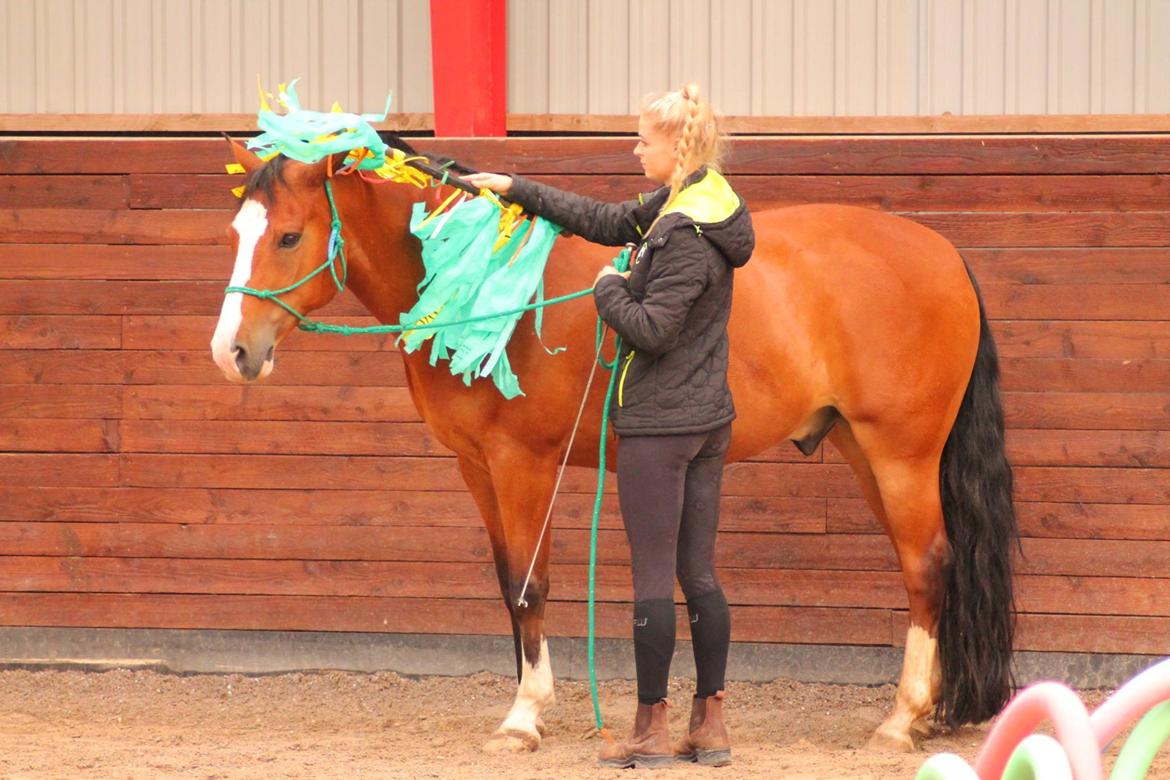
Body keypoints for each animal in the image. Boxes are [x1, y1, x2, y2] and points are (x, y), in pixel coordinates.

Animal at [210, 137, 1015, 753]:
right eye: (237, 236)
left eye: (289, 236)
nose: (232, 352)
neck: (478, 285)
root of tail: (945, 254)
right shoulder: (476, 469)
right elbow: (506, 586)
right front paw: (529, 701)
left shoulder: (524, 465)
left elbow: (531, 584)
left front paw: (524, 718)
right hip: (860, 451)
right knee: (928, 568)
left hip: (900, 455)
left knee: (927, 567)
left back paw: (900, 722)